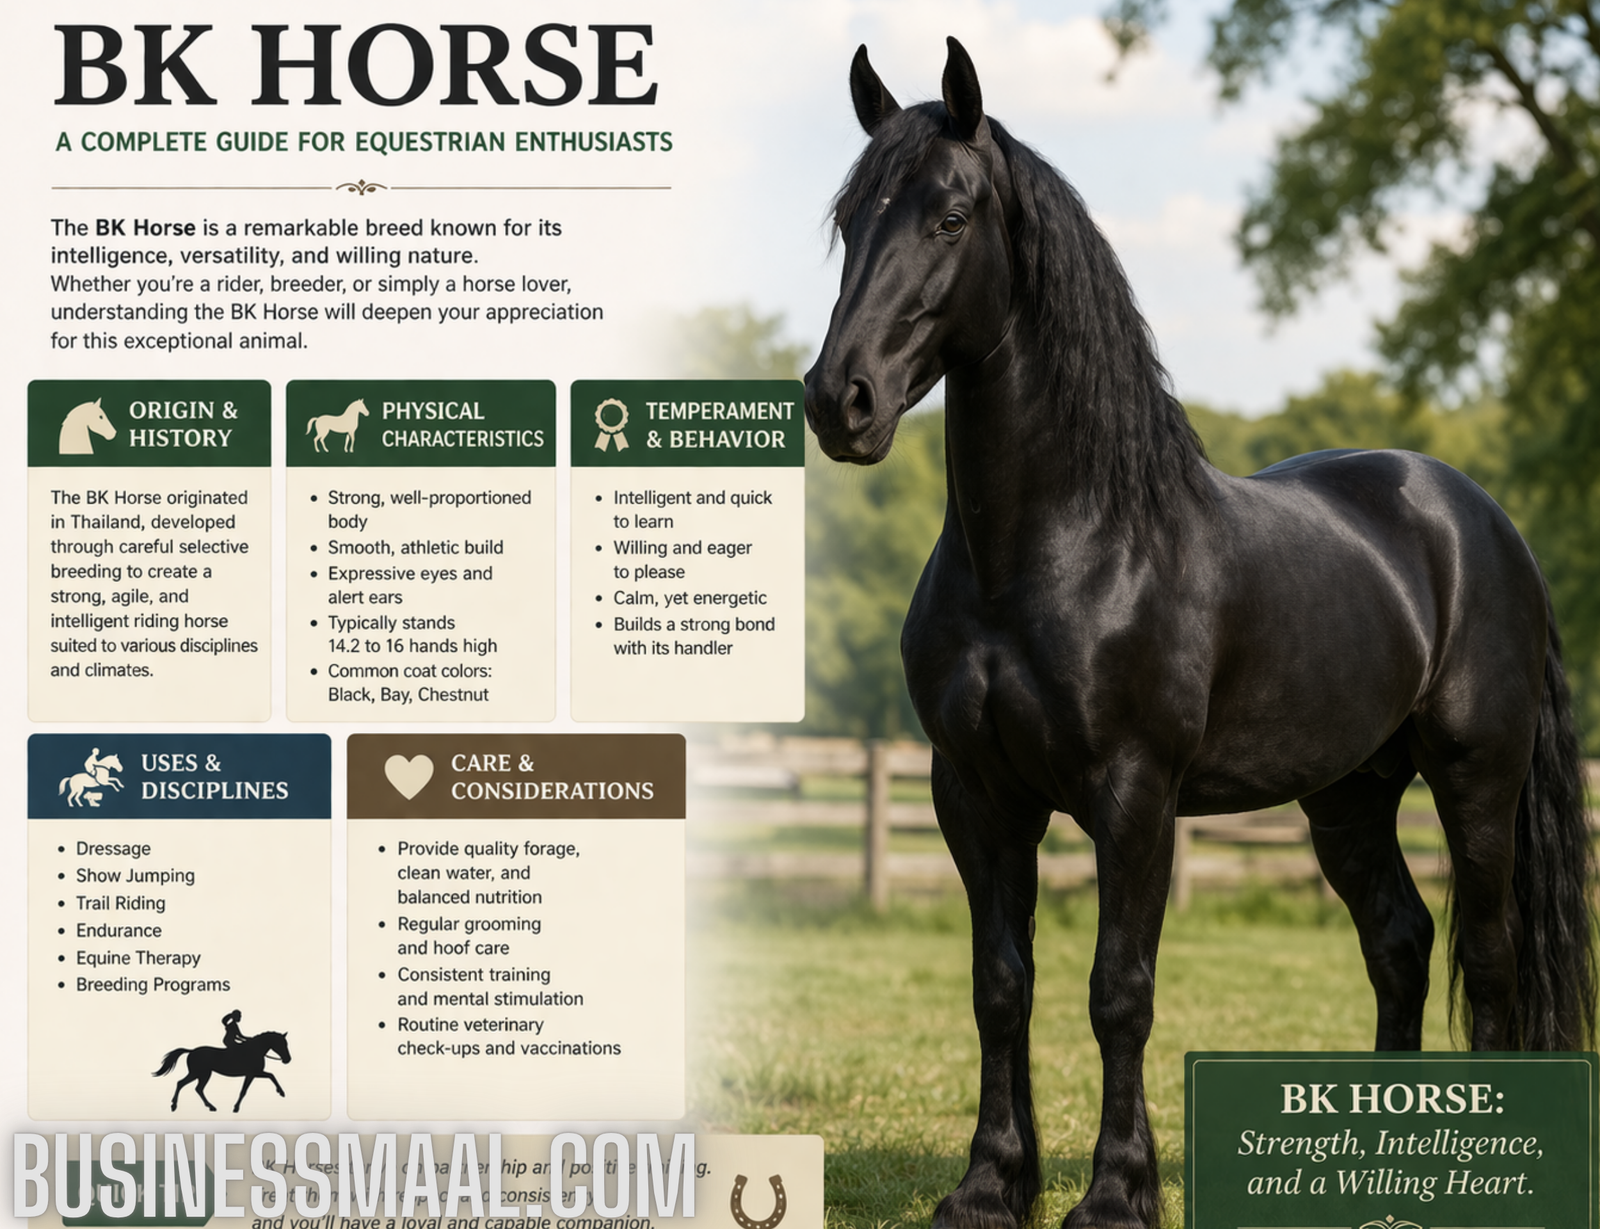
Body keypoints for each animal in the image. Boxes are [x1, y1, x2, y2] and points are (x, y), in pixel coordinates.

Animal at [154, 1031, 291, 1114]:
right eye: (282, 1044)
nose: (288, 1060)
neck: (254, 1050)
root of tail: (191, 1051)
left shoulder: (254, 1074)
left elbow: (270, 1076)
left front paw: (281, 1092)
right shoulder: (252, 1073)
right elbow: (246, 1090)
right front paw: (236, 1108)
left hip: (202, 1074)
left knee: (196, 1088)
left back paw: (210, 1107)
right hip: (200, 1073)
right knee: (182, 1084)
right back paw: (174, 1106)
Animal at [803, 39, 1597, 1229]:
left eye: (949, 215)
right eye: (851, 219)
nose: (838, 400)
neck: (1056, 549)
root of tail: (1479, 516)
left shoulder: (1134, 794)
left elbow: (1118, 991)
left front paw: (1115, 1194)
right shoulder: (973, 793)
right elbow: (1001, 984)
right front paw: (991, 1184)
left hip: (1475, 777)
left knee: (1490, 956)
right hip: (1347, 794)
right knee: (1400, 943)